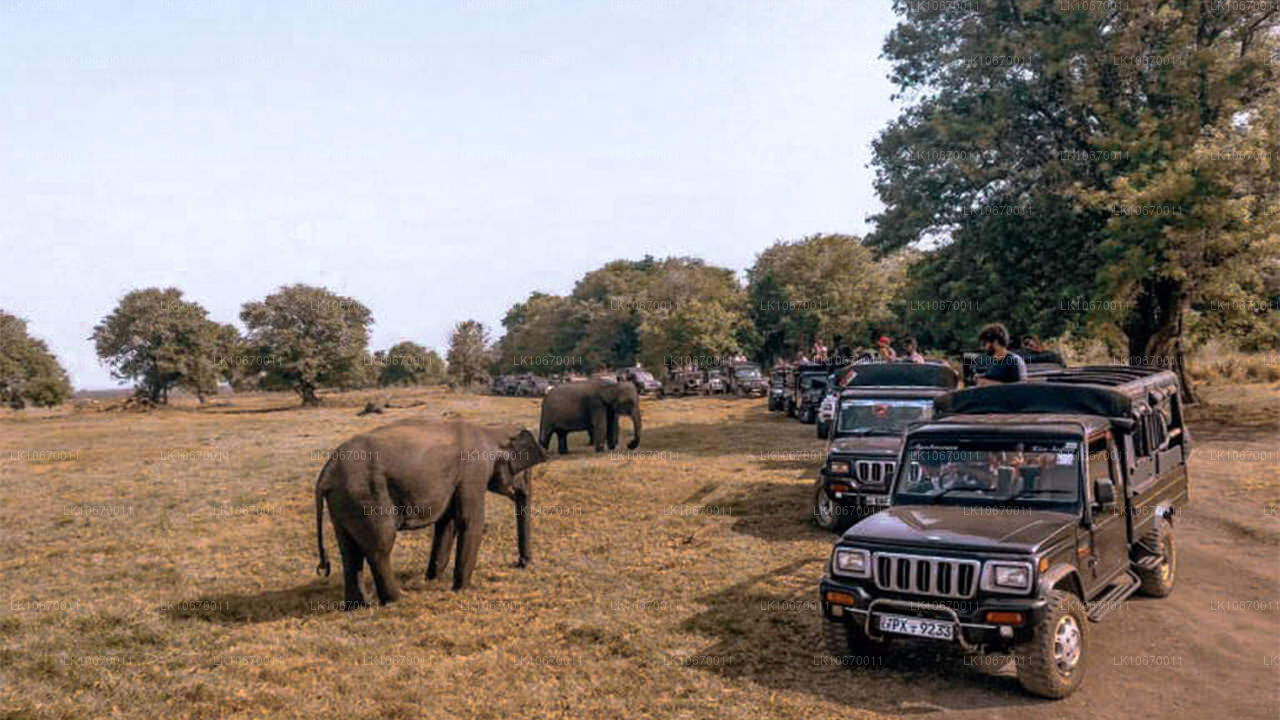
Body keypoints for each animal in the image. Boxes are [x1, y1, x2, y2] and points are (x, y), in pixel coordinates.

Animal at [317, 417, 547, 602]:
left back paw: (358, 605)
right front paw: (462, 589)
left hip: (342, 501)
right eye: (525, 472)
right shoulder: (473, 472)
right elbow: (469, 521)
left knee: (348, 551)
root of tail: (327, 471)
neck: (489, 430)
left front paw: (432, 580)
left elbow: (447, 524)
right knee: (379, 548)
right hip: (367, 496)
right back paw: (398, 599)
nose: (520, 563)